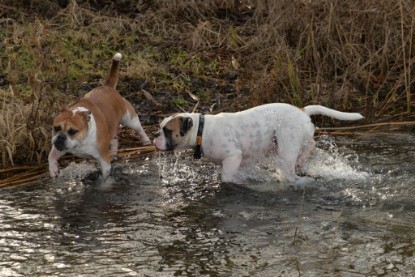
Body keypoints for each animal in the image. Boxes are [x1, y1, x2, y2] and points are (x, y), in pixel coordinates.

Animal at [154, 103, 364, 183]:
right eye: (161, 127)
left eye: (167, 131)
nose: (155, 134)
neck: (201, 130)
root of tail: (302, 110)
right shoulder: (245, 159)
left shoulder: (233, 156)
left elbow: (227, 176)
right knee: (311, 144)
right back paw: (303, 161)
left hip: (287, 143)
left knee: (292, 167)